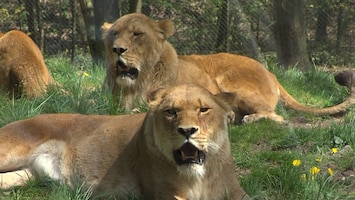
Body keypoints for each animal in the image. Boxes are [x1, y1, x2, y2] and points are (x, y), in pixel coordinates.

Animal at [0, 84, 250, 200]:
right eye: (171, 111)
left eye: (203, 110)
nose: (187, 130)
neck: (199, 176)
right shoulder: (162, 193)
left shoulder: (235, 191)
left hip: (27, 174)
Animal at [101, 12, 355, 123]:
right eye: (114, 33)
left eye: (137, 34)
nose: (117, 49)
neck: (139, 81)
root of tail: (271, 73)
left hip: (234, 86)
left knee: (279, 117)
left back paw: (245, 118)